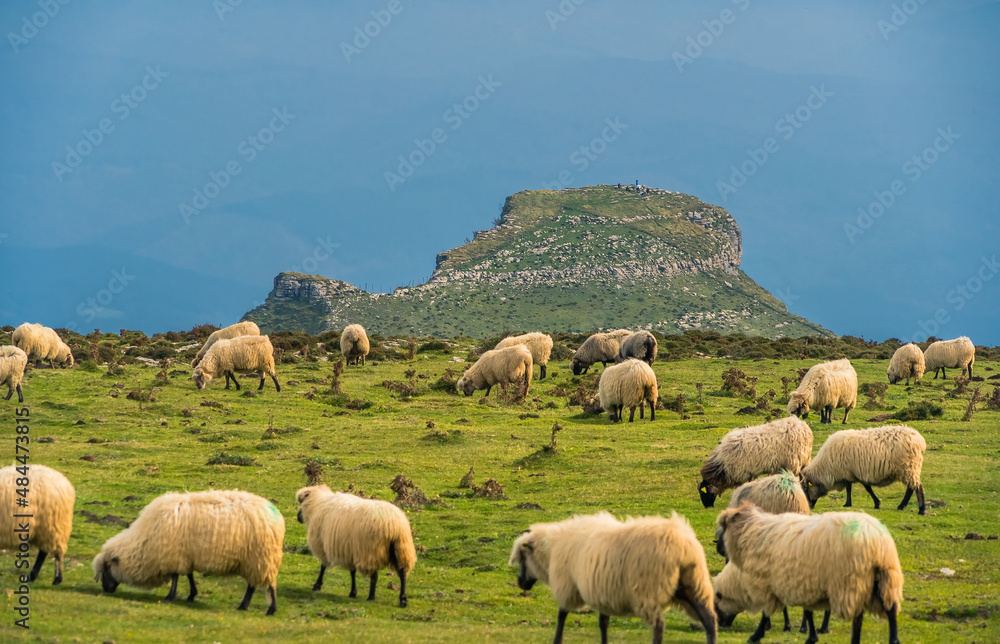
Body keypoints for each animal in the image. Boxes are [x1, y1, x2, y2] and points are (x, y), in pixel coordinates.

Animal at [93, 490, 285, 615]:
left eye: (107, 568)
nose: (105, 589)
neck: (144, 541)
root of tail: (274, 514)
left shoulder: (173, 555)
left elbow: (176, 576)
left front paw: (170, 596)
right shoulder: (185, 555)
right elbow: (189, 575)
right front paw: (192, 595)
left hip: (261, 557)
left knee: (268, 584)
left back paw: (271, 609)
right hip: (255, 560)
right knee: (253, 585)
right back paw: (244, 606)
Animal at [510, 511, 717, 644]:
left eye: (522, 557)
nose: (521, 584)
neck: (551, 549)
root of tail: (683, 547)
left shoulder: (567, 584)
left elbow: (562, 614)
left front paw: (557, 640)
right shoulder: (603, 591)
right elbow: (603, 624)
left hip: (648, 590)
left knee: (658, 626)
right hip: (694, 584)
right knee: (709, 619)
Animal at [715, 504, 903, 644]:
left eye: (723, 528)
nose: (720, 625)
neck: (751, 532)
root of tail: (876, 540)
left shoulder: (767, 584)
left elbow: (766, 613)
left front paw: (756, 635)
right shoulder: (804, 582)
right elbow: (807, 612)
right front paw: (811, 636)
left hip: (851, 581)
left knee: (861, 616)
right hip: (885, 578)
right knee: (890, 609)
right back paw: (891, 639)